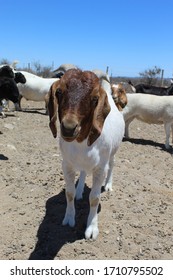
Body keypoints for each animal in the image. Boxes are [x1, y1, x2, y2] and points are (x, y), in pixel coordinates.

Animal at [47, 69, 124, 240]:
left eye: (95, 98)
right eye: (59, 91)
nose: (69, 128)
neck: (82, 143)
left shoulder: (100, 169)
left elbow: (94, 198)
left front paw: (91, 228)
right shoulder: (67, 165)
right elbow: (69, 193)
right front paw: (69, 218)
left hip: (113, 152)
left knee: (113, 164)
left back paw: (108, 185)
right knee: (82, 171)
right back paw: (80, 190)